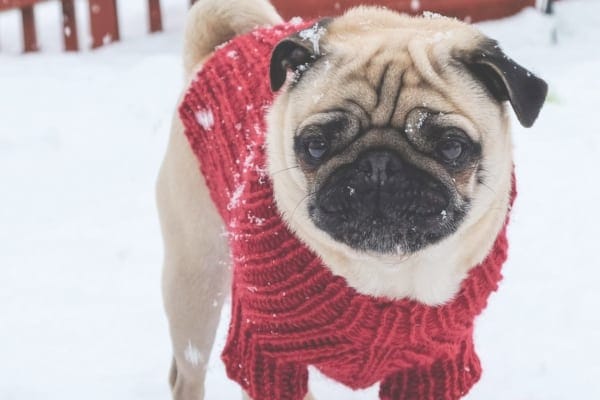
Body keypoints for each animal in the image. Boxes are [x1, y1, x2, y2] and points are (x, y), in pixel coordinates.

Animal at [156, 1, 548, 398]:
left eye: (452, 148)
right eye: (315, 146)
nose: (379, 165)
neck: (388, 269)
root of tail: (223, 47)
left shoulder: (435, 365)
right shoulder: (268, 355)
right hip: (195, 282)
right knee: (187, 375)